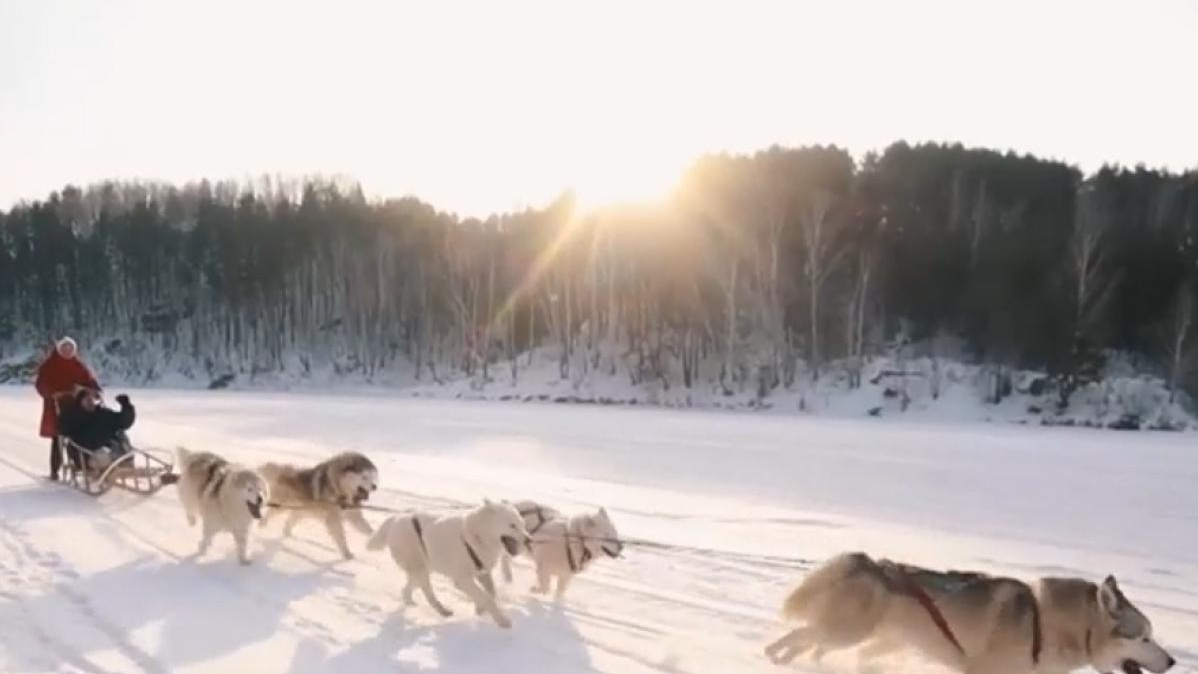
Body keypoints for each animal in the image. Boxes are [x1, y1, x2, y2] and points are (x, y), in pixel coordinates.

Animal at [366, 498, 531, 632]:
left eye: (523, 524)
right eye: (512, 525)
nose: (529, 539)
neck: (474, 536)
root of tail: (397, 517)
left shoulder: (482, 573)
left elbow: (491, 592)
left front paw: (480, 609)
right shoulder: (462, 580)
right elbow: (486, 597)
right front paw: (502, 620)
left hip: (421, 570)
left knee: (407, 589)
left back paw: (410, 602)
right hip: (420, 570)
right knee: (428, 594)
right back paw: (442, 610)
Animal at [761, 550, 1174, 674]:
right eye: (1144, 637)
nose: (1172, 662)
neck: (1045, 625)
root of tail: (871, 562)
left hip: (863, 637)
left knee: (811, 643)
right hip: (850, 632)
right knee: (799, 635)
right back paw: (774, 655)